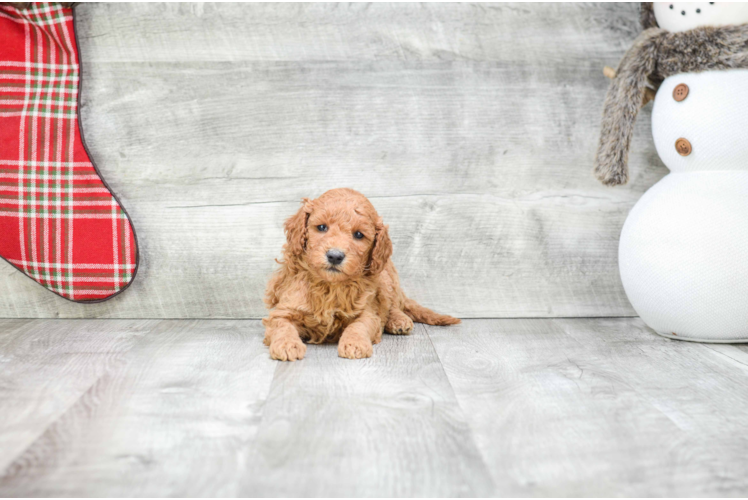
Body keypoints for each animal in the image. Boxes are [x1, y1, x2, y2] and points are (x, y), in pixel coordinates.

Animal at [262, 188, 462, 360]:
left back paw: (399, 321)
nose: (335, 256)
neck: (330, 286)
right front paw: (287, 345)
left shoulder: (368, 311)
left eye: (358, 235)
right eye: (321, 227)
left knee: (394, 305)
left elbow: (359, 325)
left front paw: (354, 343)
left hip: (387, 278)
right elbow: (282, 325)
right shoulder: (285, 309)